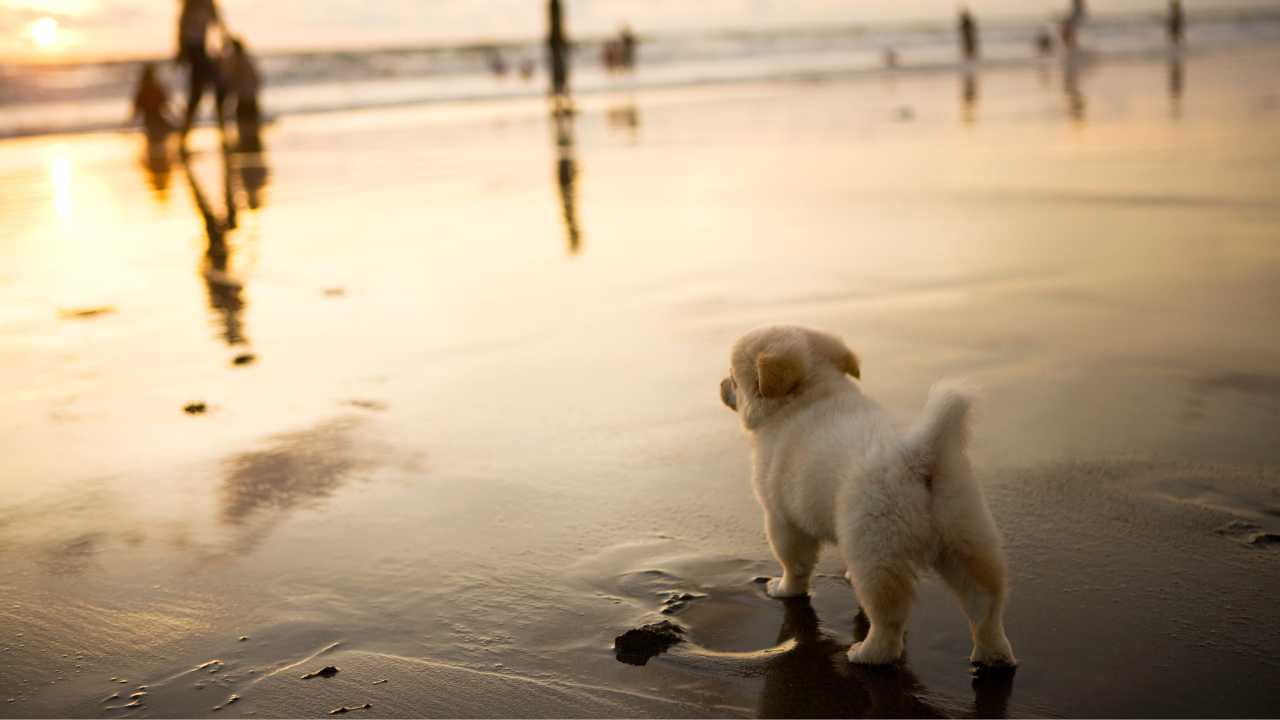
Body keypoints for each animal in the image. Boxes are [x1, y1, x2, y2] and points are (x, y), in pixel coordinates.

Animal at [727, 322, 1013, 666]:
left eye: (732, 378)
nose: (721, 386)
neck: (812, 394)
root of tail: (918, 456)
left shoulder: (782, 520)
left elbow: (794, 564)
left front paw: (782, 589)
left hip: (877, 549)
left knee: (888, 617)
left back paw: (867, 653)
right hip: (967, 538)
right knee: (986, 606)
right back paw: (993, 655)